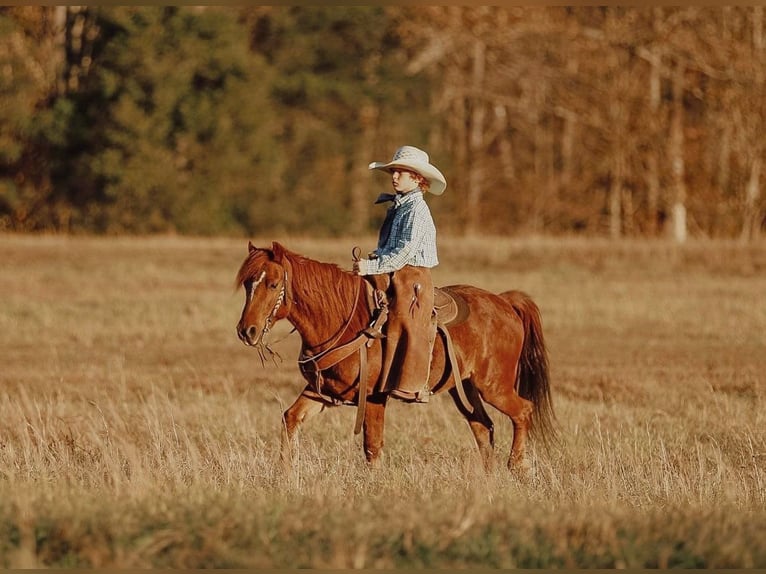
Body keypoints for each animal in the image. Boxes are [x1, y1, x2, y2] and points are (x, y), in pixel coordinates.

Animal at [236, 243, 560, 472]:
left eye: (273, 284)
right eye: (248, 284)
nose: (246, 331)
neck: (343, 321)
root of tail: (505, 302)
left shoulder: (374, 397)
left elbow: (372, 446)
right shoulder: (323, 393)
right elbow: (290, 419)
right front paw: (285, 473)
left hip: (494, 386)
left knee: (523, 411)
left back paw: (517, 466)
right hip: (464, 389)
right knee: (483, 427)